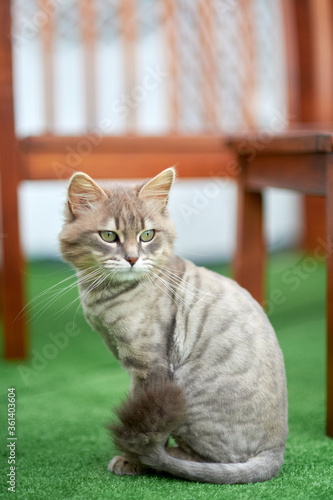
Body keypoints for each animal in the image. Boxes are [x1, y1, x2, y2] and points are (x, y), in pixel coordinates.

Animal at [59, 168, 288, 484]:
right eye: (108, 236)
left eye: (147, 235)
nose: (132, 258)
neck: (104, 296)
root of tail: (276, 451)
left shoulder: (149, 365)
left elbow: (148, 424)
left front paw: (132, 461)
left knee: (210, 461)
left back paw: (165, 459)